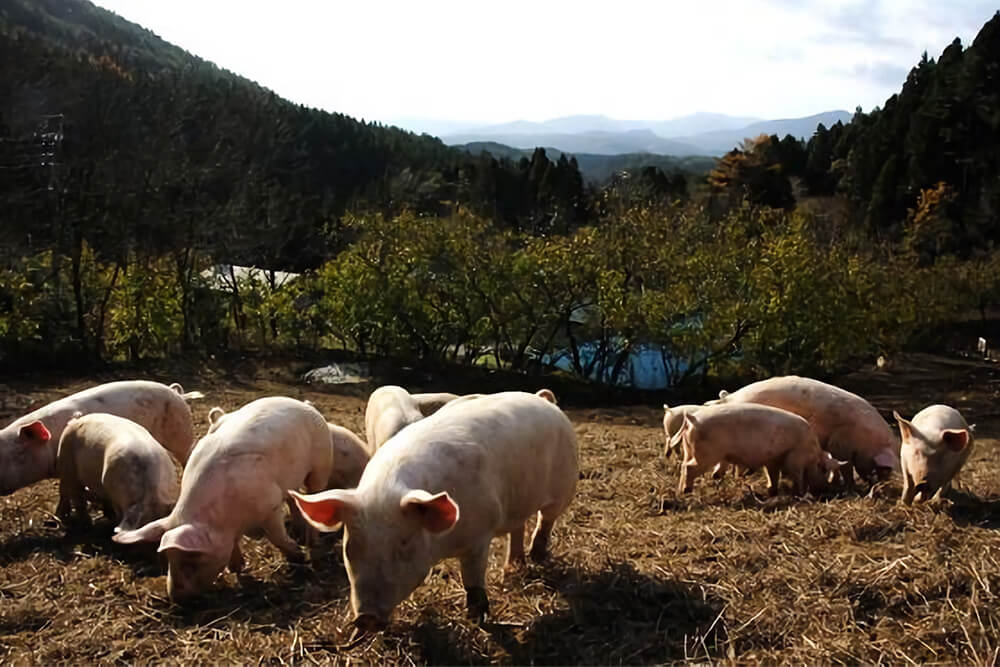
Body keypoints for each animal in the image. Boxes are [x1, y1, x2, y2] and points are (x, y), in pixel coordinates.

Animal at [112, 394, 332, 604]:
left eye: (191, 561)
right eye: (167, 559)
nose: (176, 599)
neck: (224, 517)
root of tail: (305, 404)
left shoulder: (270, 504)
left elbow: (276, 537)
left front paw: (299, 557)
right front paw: (237, 567)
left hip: (320, 465)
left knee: (314, 494)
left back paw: (311, 541)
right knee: (295, 499)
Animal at [290, 392, 580, 632]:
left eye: (404, 542)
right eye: (351, 546)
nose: (366, 618)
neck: (442, 546)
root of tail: (544, 400)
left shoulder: (480, 535)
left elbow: (473, 580)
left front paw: (477, 620)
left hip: (565, 483)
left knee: (546, 519)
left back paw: (538, 555)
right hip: (518, 500)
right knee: (518, 527)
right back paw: (513, 566)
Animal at [676, 402, 840, 496]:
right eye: (823, 470)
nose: (825, 489)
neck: (812, 452)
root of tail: (693, 419)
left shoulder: (772, 459)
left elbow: (772, 474)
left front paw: (772, 492)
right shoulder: (795, 457)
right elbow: (796, 474)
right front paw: (799, 493)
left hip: (688, 450)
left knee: (683, 465)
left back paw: (681, 490)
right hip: (707, 455)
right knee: (689, 467)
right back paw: (686, 490)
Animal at [720, 378, 900, 488]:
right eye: (883, 468)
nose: (881, 484)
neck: (867, 439)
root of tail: (730, 397)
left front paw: (834, 482)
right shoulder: (839, 443)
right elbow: (846, 466)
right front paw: (850, 486)